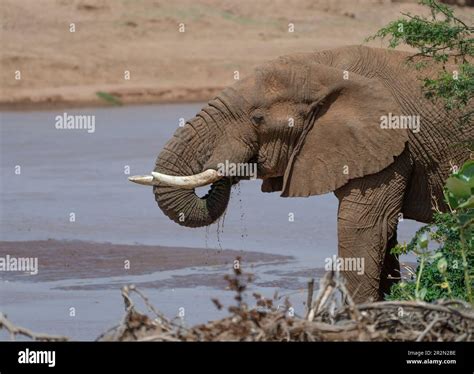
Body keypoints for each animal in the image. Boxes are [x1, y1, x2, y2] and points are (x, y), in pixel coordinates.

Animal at [130, 46, 474, 304]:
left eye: (257, 118)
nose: (228, 168)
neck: (324, 67)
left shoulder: (392, 142)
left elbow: (362, 227)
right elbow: (384, 234)